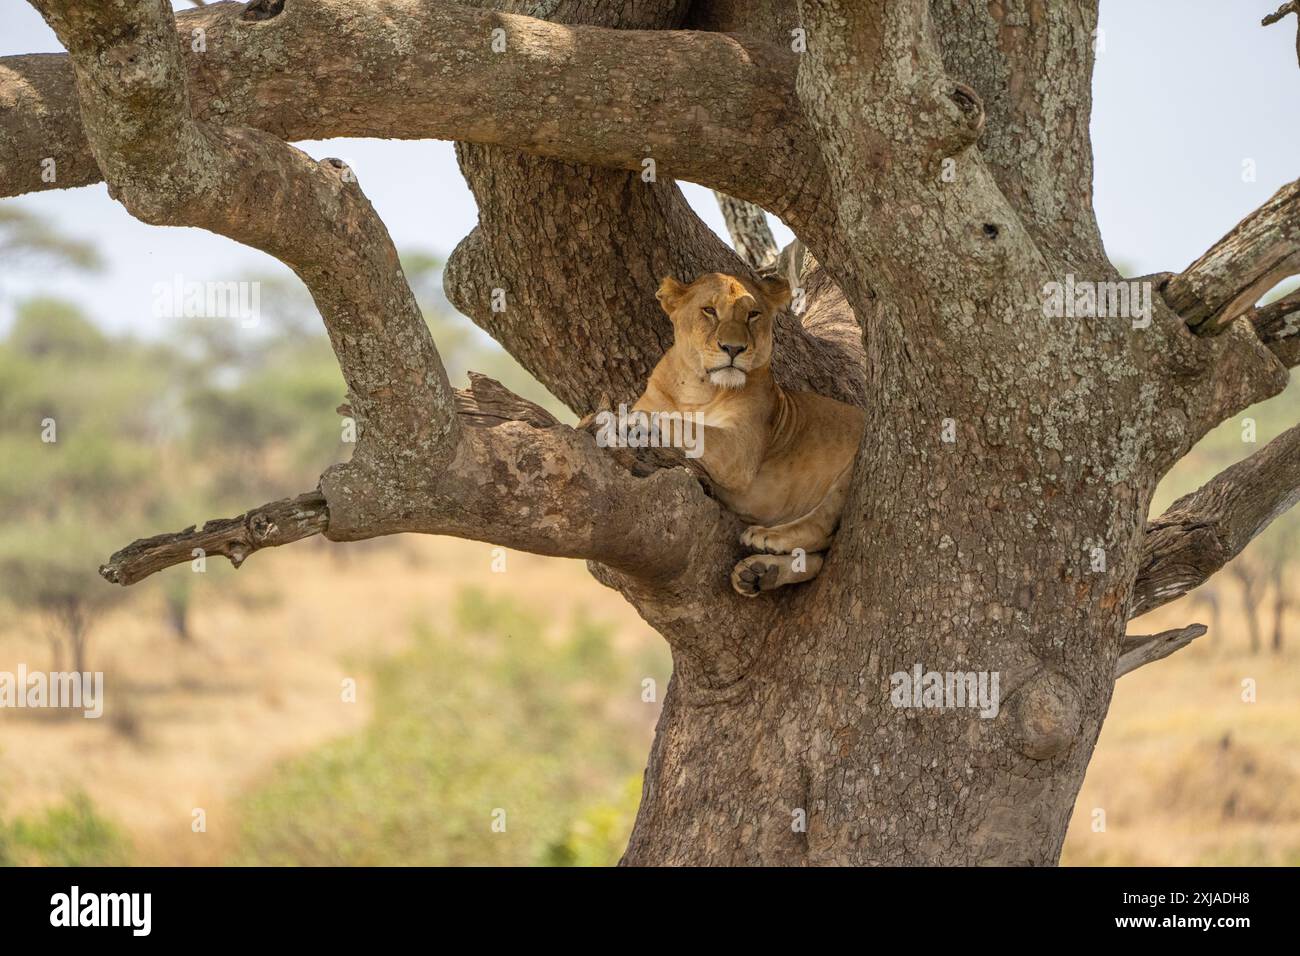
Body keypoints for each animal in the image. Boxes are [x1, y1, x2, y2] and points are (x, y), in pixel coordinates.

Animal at [633, 272, 865, 596]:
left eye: (753, 314)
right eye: (709, 310)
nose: (733, 349)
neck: (696, 391)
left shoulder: (740, 450)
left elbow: (680, 423)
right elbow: (666, 415)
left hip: (855, 464)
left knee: (822, 525)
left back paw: (767, 540)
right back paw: (759, 572)